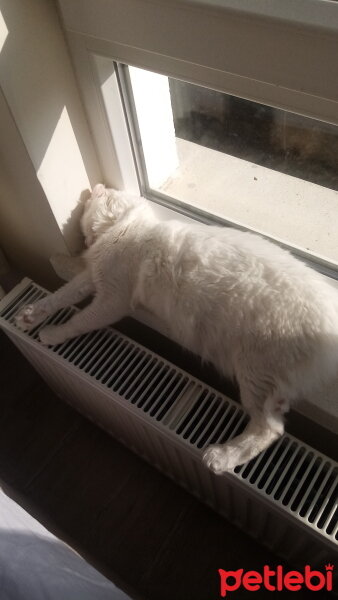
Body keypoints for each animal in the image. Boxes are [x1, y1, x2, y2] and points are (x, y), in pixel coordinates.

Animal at [15, 186, 338, 474]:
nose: (94, 189)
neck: (127, 229)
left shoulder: (111, 300)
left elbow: (78, 320)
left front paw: (51, 333)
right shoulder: (94, 278)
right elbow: (64, 292)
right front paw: (31, 314)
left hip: (254, 370)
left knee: (270, 430)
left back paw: (220, 458)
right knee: (274, 422)